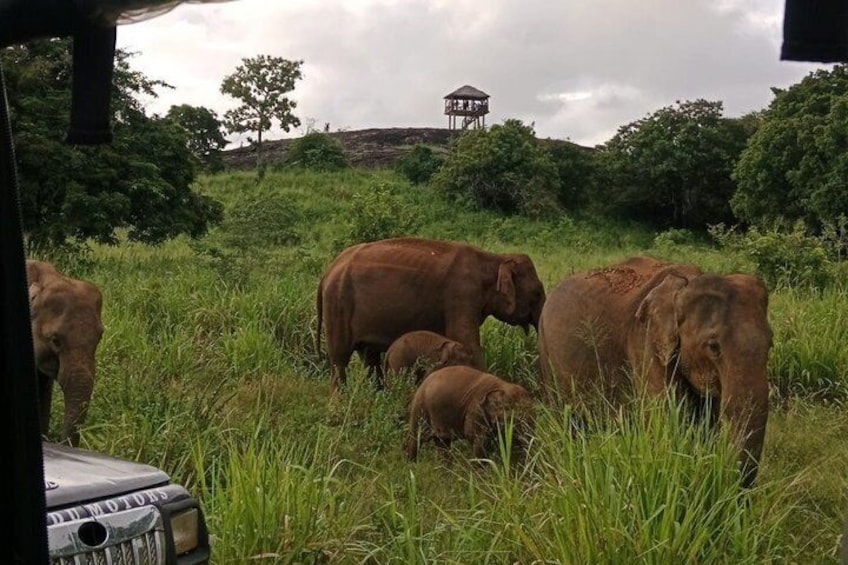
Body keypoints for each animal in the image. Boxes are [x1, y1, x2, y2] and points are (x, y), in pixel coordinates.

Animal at [316, 237, 546, 393]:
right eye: (537, 293)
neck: (494, 259)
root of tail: (328, 271)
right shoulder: (461, 293)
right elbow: (468, 342)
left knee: (370, 358)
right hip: (338, 304)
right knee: (339, 360)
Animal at [406, 365, 535, 461]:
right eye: (516, 417)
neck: (503, 385)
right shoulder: (476, 411)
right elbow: (478, 441)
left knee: (443, 443)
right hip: (420, 407)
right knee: (416, 439)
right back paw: (412, 466)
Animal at [538, 255, 772, 488]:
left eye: (770, 343)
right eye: (713, 346)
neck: (684, 286)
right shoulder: (645, 342)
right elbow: (664, 420)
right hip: (546, 352)